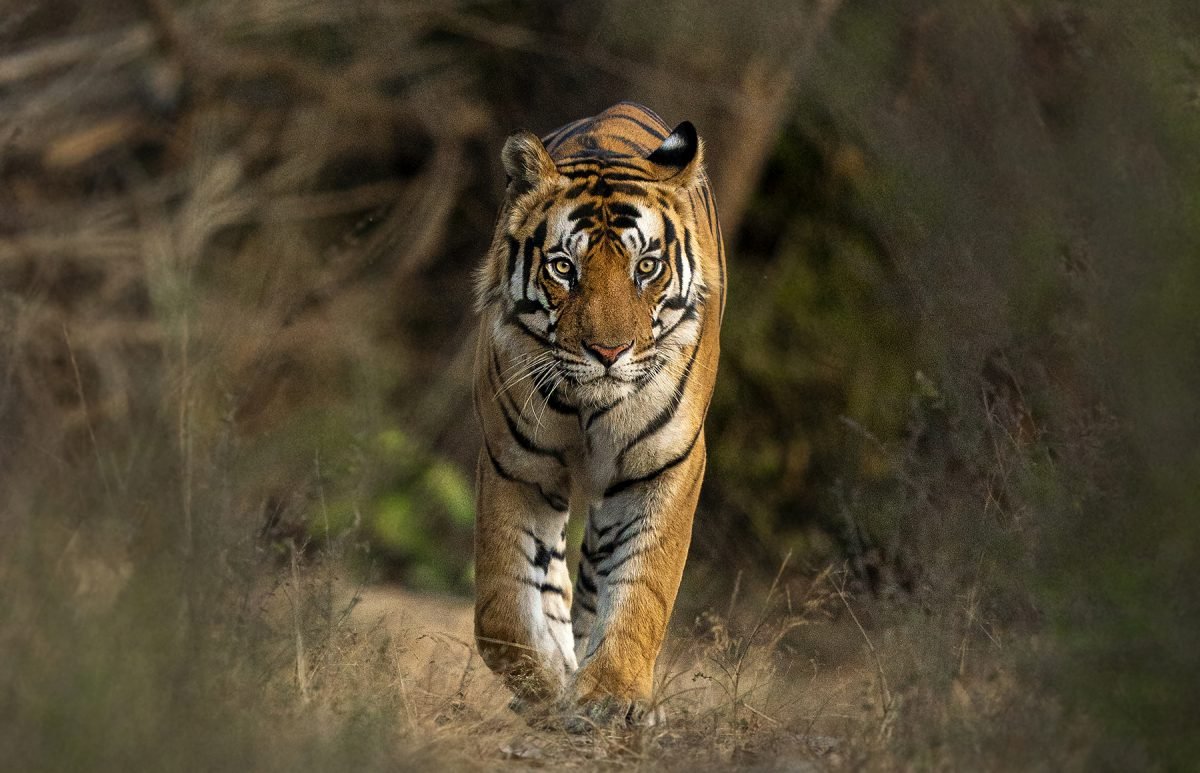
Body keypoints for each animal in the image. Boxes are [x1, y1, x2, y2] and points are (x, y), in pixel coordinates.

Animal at [472, 101, 724, 724]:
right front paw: (547, 686)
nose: (609, 354)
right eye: (565, 268)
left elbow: (643, 588)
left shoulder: (667, 465)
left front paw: (611, 695)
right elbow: (503, 610)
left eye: (647, 267)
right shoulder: (516, 465)